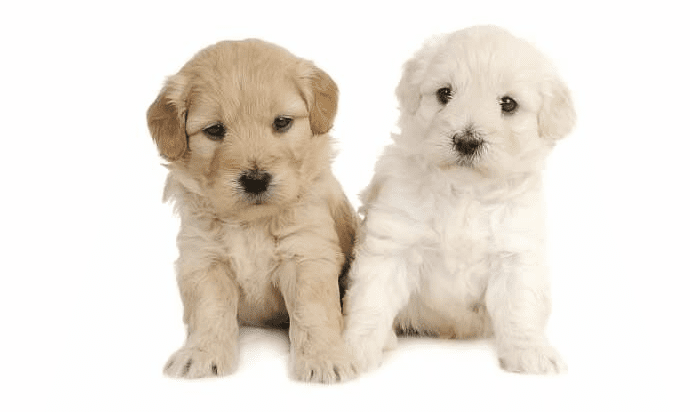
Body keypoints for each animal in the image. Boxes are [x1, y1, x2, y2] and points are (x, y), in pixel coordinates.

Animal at [147, 39, 358, 384]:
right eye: (215, 130)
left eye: (282, 123)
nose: (256, 180)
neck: (251, 222)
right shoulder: (204, 260)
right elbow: (209, 312)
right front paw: (201, 353)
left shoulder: (307, 254)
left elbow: (314, 312)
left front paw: (325, 357)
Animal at [342, 25, 572, 374]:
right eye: (444, 94)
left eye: (508, 104)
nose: (466, 141)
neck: (465, 191)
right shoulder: (393, 242)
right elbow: (372, 300)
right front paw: (352, 348)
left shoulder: (515, 253)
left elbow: (520, 308)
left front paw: (530, 351)